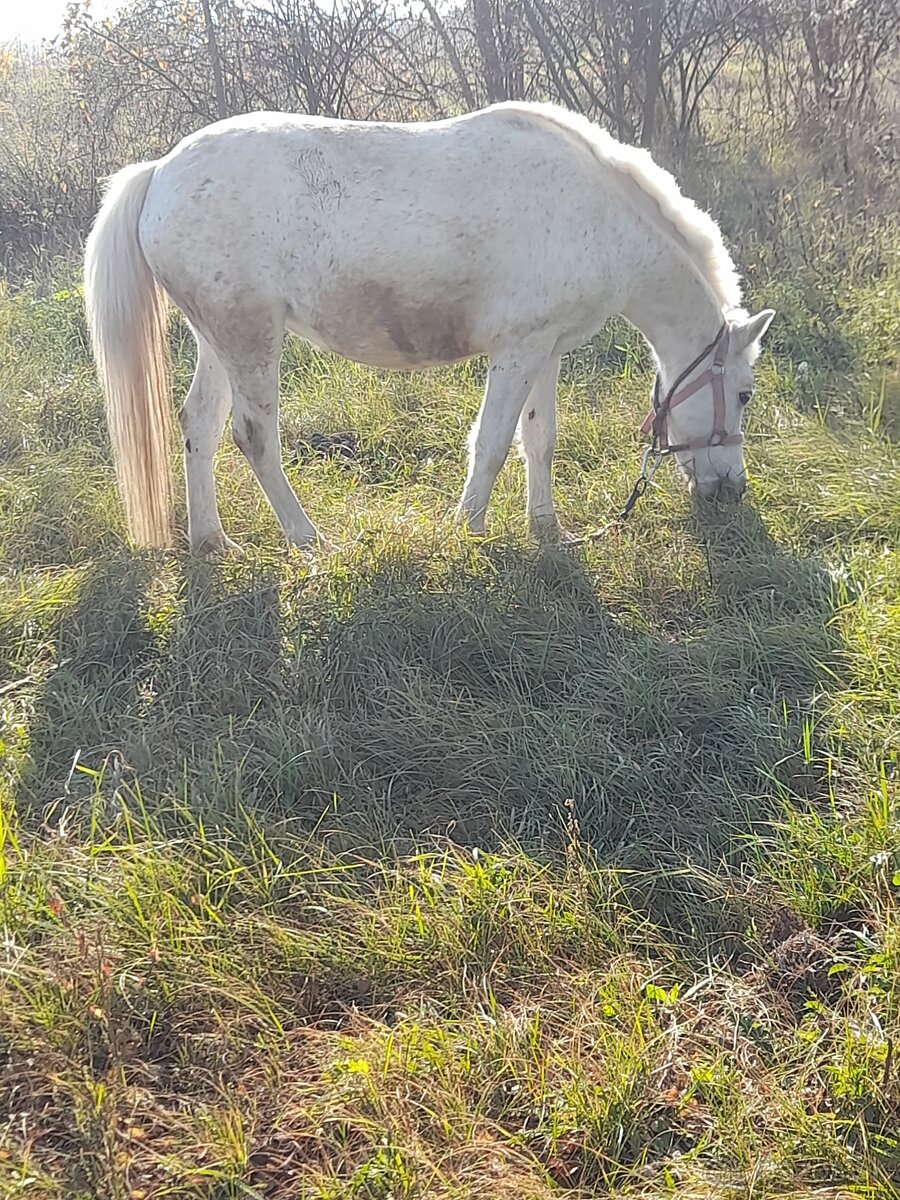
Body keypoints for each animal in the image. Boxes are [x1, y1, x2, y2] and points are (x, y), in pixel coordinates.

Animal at [84, 102, 775, 555]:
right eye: (743, 394)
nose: (732, 490)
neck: (598, 214)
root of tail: (160, 172)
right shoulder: (517, 350)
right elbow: (492, 444)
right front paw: (467, 534)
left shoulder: (545, 349)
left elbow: (539, 439)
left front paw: (548, 531)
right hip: (250, 337)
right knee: (254, 438)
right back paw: (309, 542)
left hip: (218, 337)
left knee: (199, 424)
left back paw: (211, 543)